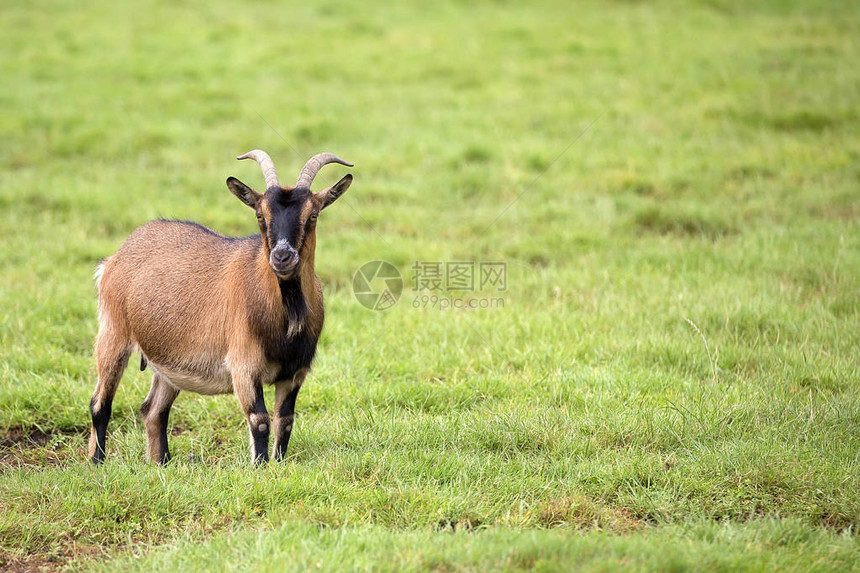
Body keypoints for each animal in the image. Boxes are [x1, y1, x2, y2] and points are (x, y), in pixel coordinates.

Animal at [87, 150, 352, 462]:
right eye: (260, 215)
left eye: (313, 215)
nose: (282, 257)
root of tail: (114, 259)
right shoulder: (244, 366)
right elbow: (260, 421)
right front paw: (260, 467)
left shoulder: (295, 373)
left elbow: (285, 421)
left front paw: (278, 464)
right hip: (113, 332)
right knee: (100, 403)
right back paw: (97, 461)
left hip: (166, 361)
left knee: (154, 410)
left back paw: (161, 463)